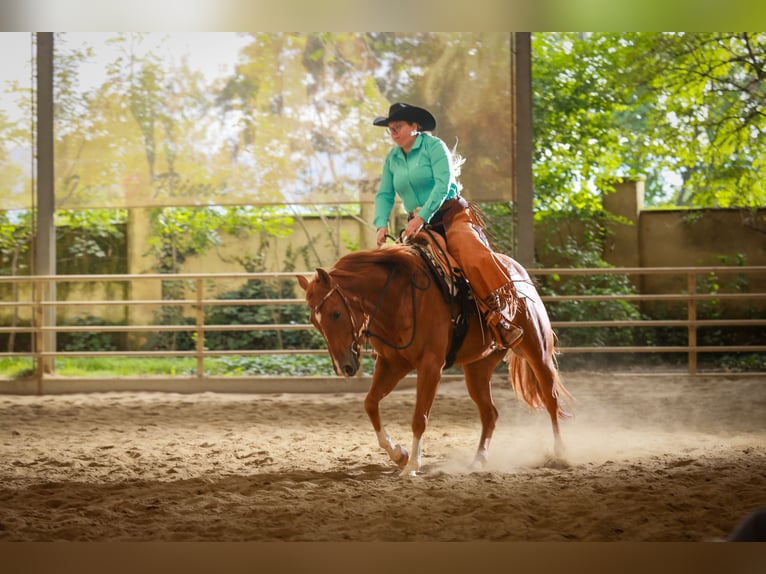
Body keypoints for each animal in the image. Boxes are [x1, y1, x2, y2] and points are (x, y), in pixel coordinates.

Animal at [296, 238, 573, 477]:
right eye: (314, 321)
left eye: (335, 314)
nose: (343, 367)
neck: (398, 299)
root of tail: (518, 272)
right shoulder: (391, 364)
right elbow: (370, 403)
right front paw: (399, 454)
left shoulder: (430, 366)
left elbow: (419, 418)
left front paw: (412, 466)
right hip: (478, 369)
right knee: (490, 413)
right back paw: (478, 460)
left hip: (537, 351)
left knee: (551, 399)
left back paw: (560, 453)